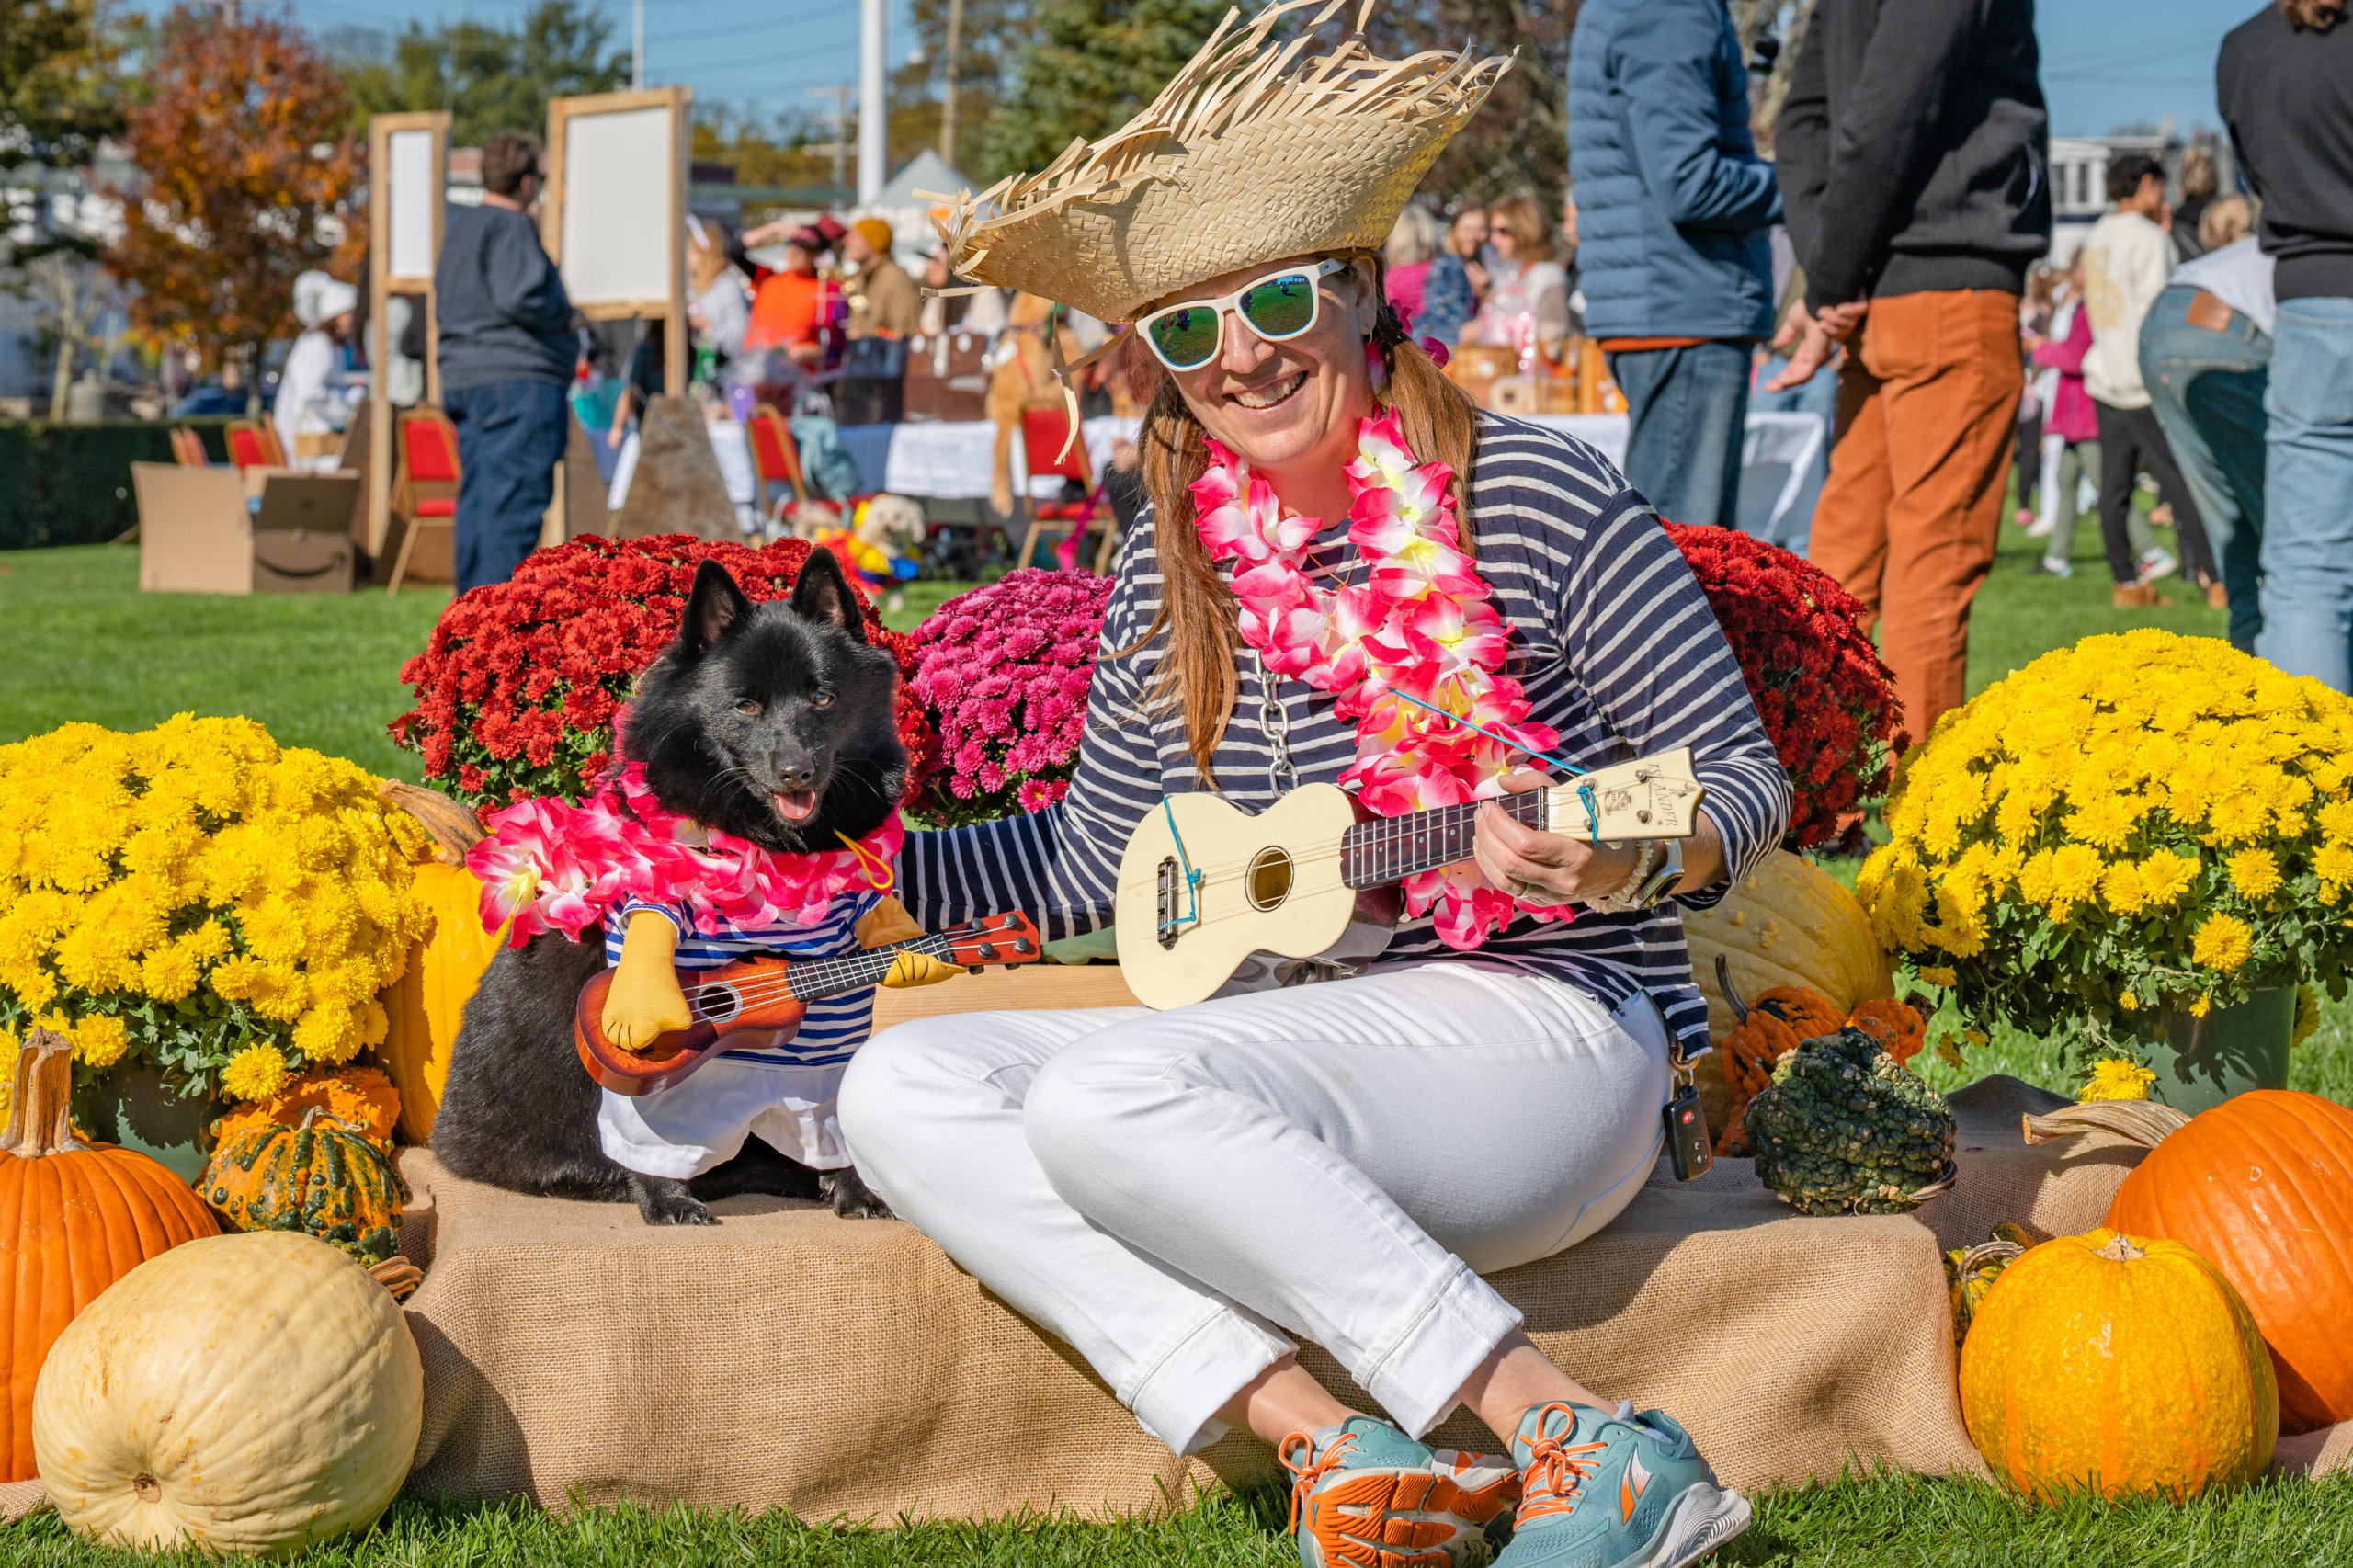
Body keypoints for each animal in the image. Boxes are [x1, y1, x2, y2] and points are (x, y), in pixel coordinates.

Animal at [438, 548, 913, 1224]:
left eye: (822, 696)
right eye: (744, 706)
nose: (797, 771)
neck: (768, 844)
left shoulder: (833, 995)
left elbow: (830, 1107)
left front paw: (853, 1187)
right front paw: (664, 1198)